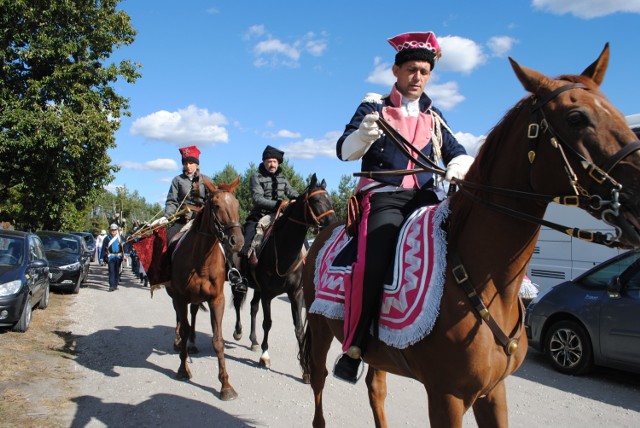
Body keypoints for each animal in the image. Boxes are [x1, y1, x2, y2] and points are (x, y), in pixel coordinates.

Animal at [166, 175, 244, 402]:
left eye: (237, 205)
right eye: (216, 205)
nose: (238, 241)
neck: (200, 259)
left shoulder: (216, 299)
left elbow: (218, 341)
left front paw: (226, 386)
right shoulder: (180, 297)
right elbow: (183, 328)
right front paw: (183, 369)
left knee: (191, 314)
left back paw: (192, 343)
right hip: (175, 296)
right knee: (179, 319)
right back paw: (179, 342)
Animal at [298, 45, 640, 426]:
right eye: (576, 117)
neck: (483, 280)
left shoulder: (493, 391)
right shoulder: (447, 396)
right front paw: (371, 127)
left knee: (376, 389)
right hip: (319, 327)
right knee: (318, 383)